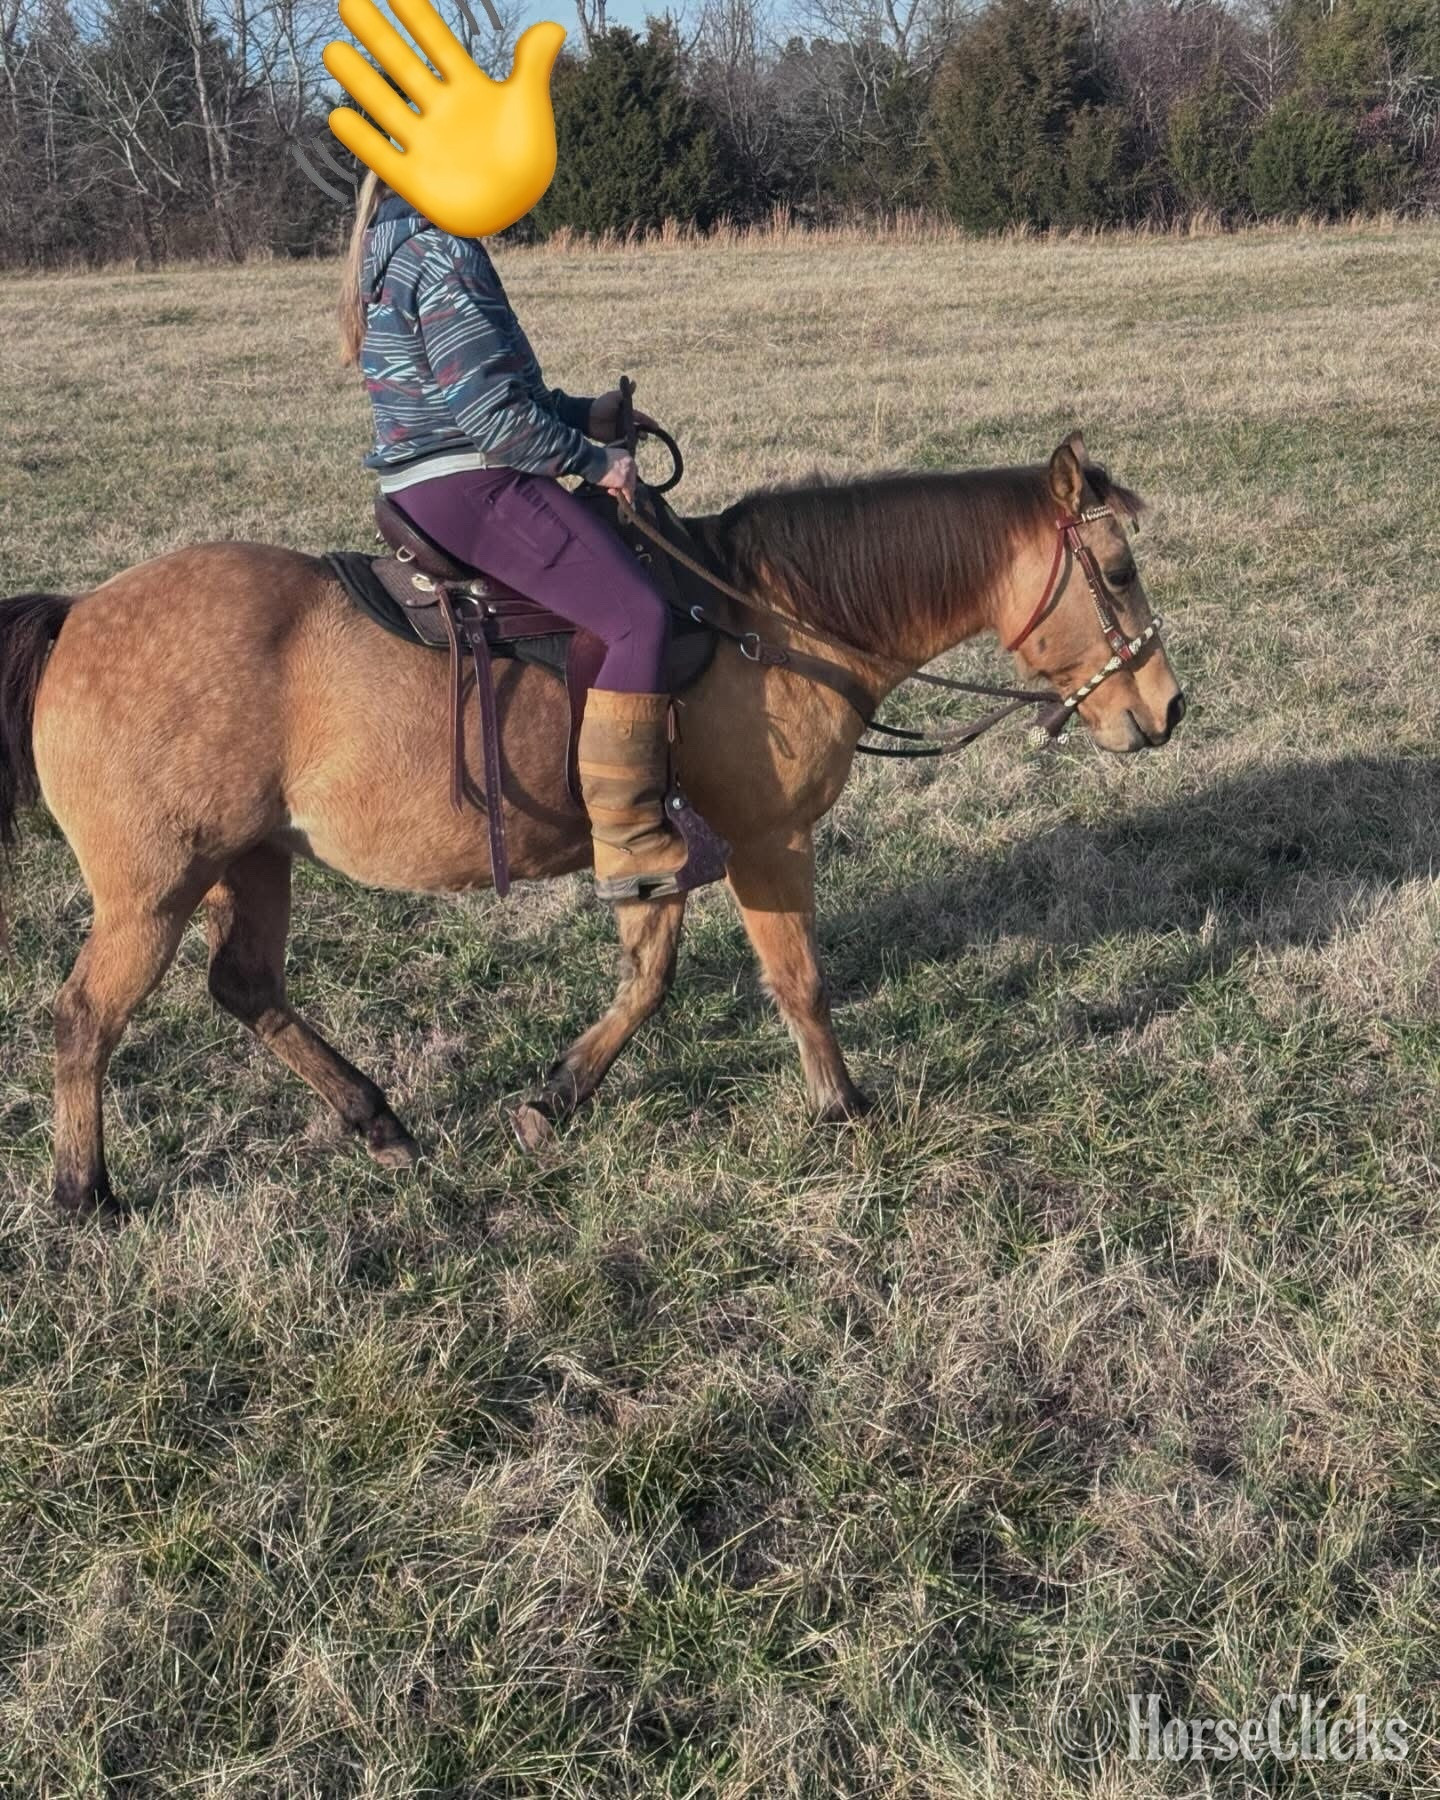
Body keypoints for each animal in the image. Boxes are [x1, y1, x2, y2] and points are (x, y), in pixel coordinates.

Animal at [0, 433, 1184, 1217]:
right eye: (1119, 570)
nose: (1169, 709)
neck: (764, 618)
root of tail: (79, 618)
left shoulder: (661, 851)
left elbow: (648, 975)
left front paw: (557, 1097)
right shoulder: (765, 841)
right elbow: (793, 978)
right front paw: (843, 1107)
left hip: (252, 862)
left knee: (245, 987)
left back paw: (377, 1122)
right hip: (152, 891)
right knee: (84, 1019)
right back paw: (84, 1191)